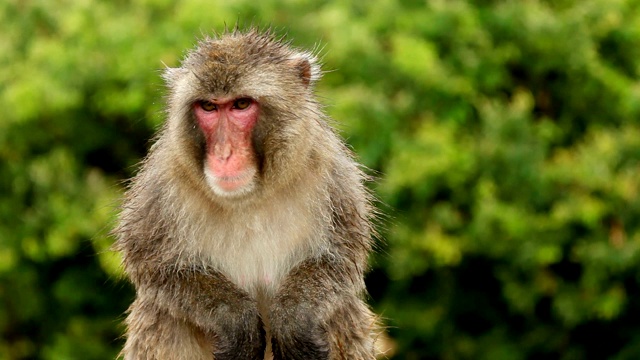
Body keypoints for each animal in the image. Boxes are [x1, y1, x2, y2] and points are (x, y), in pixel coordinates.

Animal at [112, 28, 380, 360]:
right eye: (209, 107)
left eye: (240, 105)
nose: (224, 153)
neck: (250, 195)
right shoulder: (162, 185)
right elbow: (154, 270)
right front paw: (233, 319)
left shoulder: (333, 175)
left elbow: (341, 262)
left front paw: (293, 317)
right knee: (160, 314)